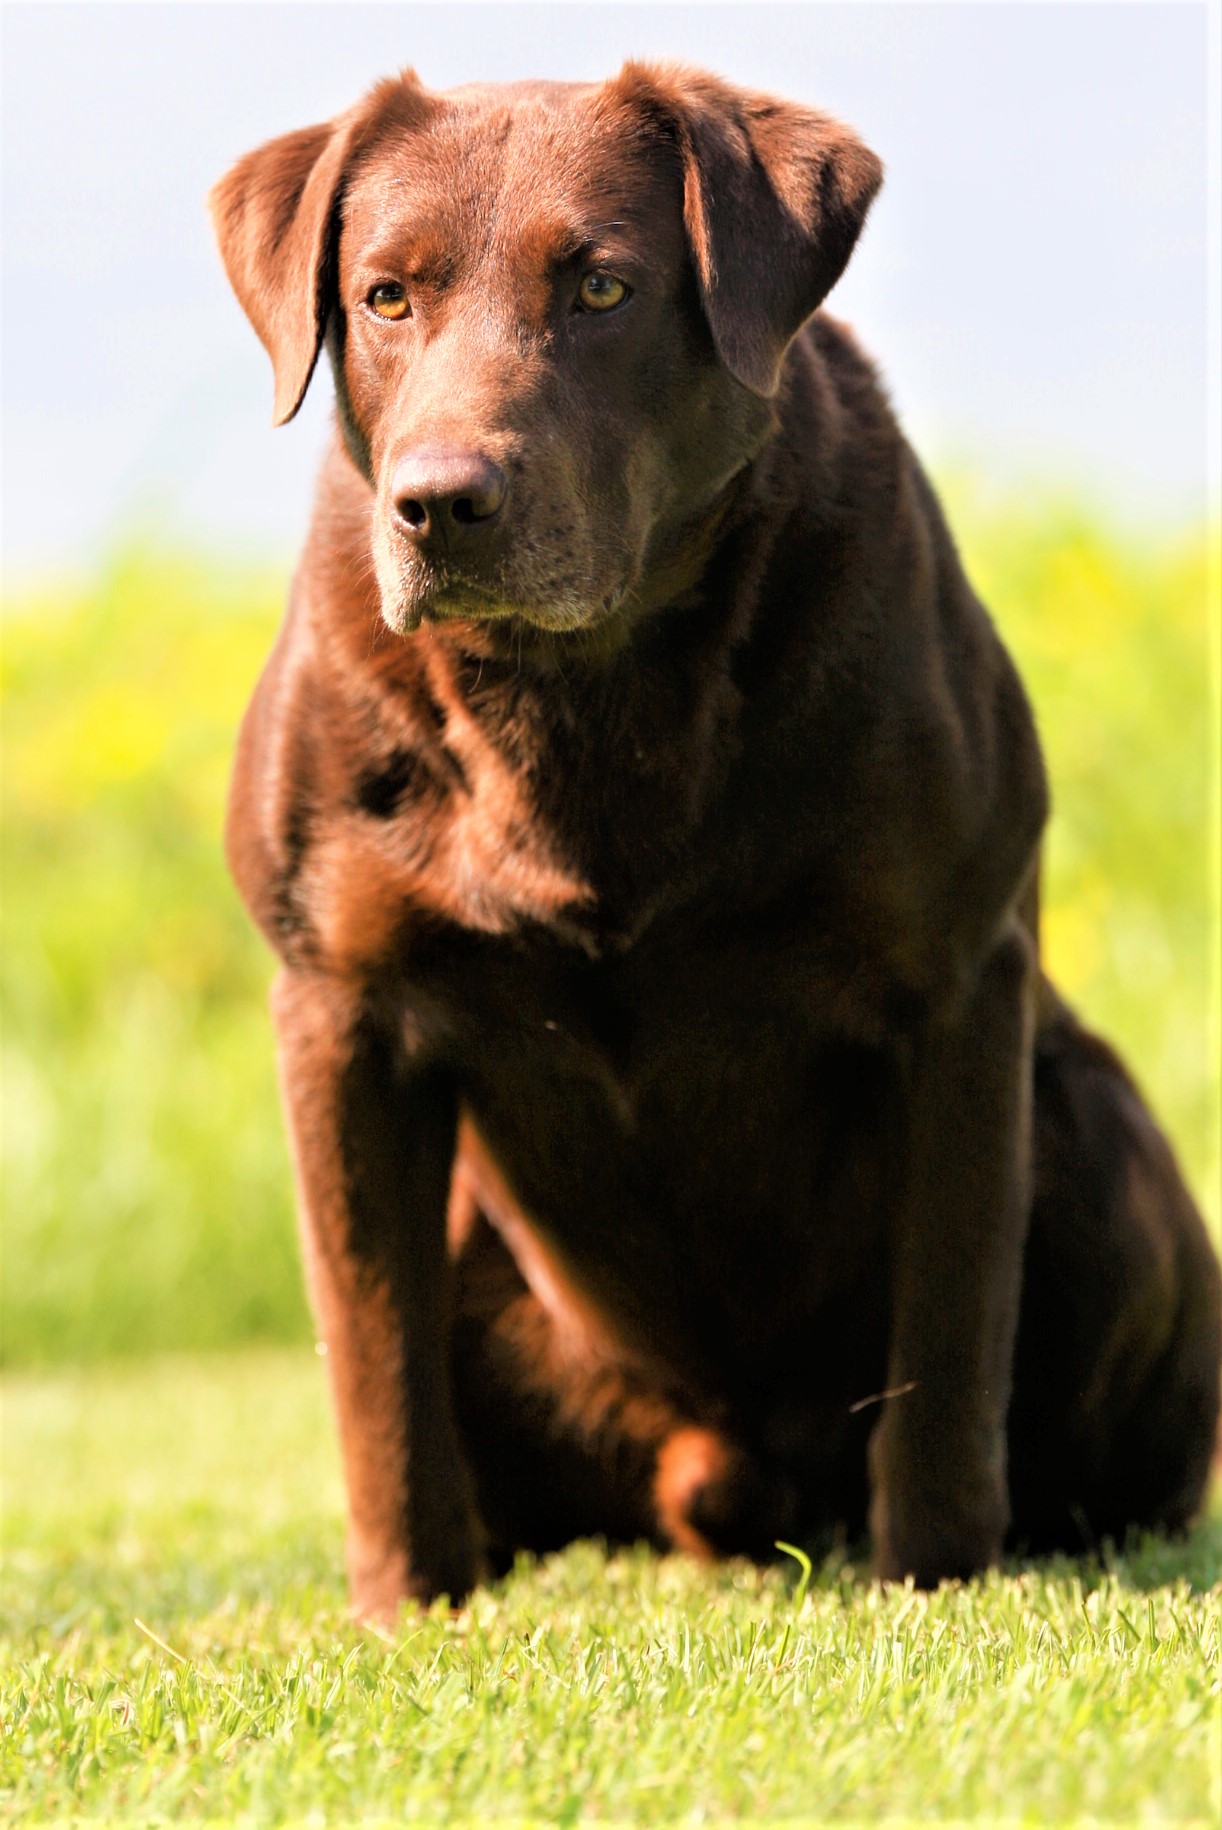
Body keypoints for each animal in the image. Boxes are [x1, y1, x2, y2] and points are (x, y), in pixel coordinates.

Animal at [212, 60, 1222, 1617]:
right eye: (385, 296)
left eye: (602, 287)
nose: (438, 503)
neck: (580, 694)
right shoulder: (340, 1008)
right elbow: (372, 1358)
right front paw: (401, 1608)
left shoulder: (956, 986)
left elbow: (945, 1342)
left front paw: (934, 1577)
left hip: (1091, 1128)